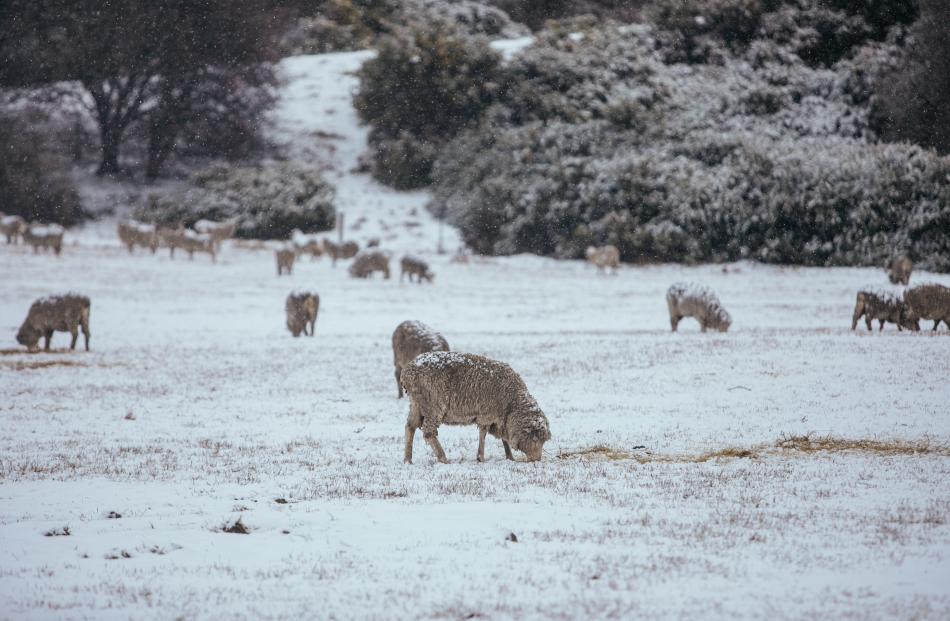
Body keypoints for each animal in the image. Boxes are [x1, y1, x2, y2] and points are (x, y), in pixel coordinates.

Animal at [400, 352, 552, 462]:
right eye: (535, 439)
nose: (536, 459)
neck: (511, 402)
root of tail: (407, 372)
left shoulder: (500, 418)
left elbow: (504, 438)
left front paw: (510, 457)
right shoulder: (487, 414)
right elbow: (483, 434)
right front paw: (481, 457)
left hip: (417, 403)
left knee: (410, 427)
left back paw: (408, 459)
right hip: (433, 405)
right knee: (428, 432)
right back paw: (443, 458)